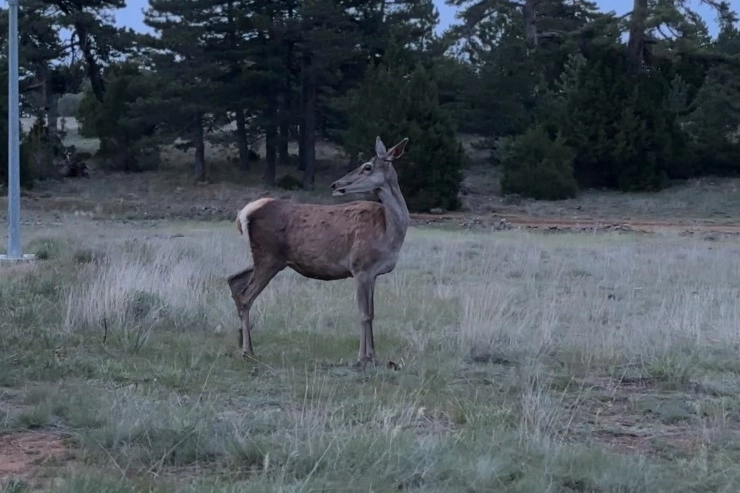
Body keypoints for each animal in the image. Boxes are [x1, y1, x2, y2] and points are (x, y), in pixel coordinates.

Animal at [225, 135, 410, 366]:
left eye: (367, 167)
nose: (336, 184)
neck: (389, 231)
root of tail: (246, 213)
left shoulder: (373, 273)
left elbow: (372, 313)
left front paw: (373, 356)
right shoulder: (360, 266)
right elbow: (364, 314)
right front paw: (362, 358)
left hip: (268, 259)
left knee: (234, 280)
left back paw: (240, 343)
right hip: (268, 257)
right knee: (245, 296)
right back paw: (248, 351)